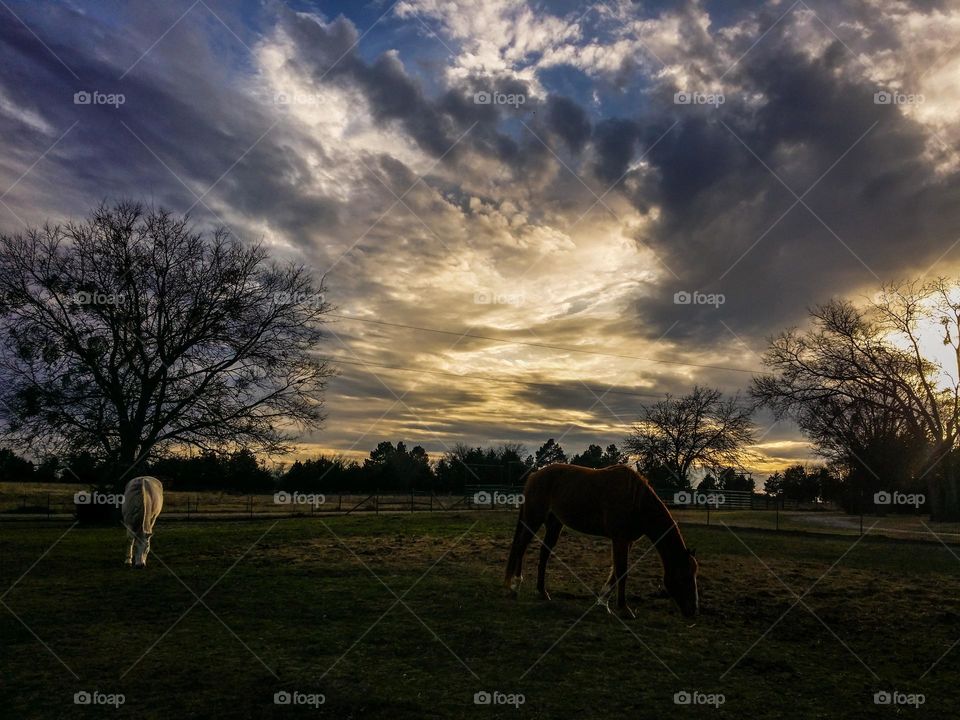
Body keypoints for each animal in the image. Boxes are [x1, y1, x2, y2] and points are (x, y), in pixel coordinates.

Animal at [502, 466, 696, 620]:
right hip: (534, 519)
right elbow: (621, 571)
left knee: (543, 553)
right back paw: (514, 586)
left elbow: (616, 571)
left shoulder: (627, 541)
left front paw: (604, 601)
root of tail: (534, 476)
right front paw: (624, 609)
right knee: (521, 547)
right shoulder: (619, 539)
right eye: (684, 575)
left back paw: (541, 591)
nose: (693, 611)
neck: (636, 500)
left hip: (554, 524)